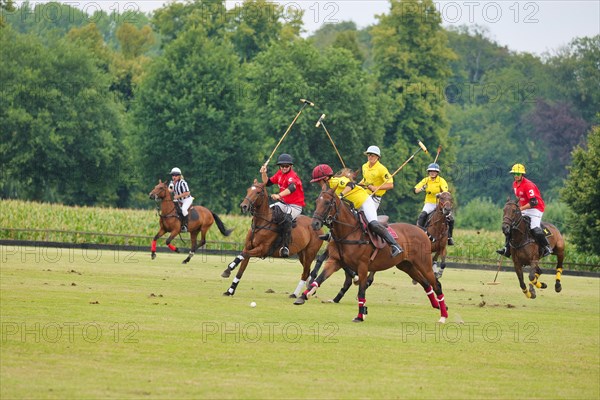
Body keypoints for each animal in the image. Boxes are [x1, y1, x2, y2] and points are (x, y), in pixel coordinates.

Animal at [292, 187, 448, 322]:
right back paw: (437, 305)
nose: (315, 224)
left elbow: (361, 291)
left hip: (424, 263)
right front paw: (302, 297)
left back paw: (443, 316)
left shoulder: (362, 266)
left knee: (437, 284)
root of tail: (422, 231)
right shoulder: (335, 261)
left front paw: (360, 316)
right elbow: (319, 278)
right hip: (406, 265)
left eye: (327, 203)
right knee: (426, 283)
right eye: (317, 201)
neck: (348, 232)